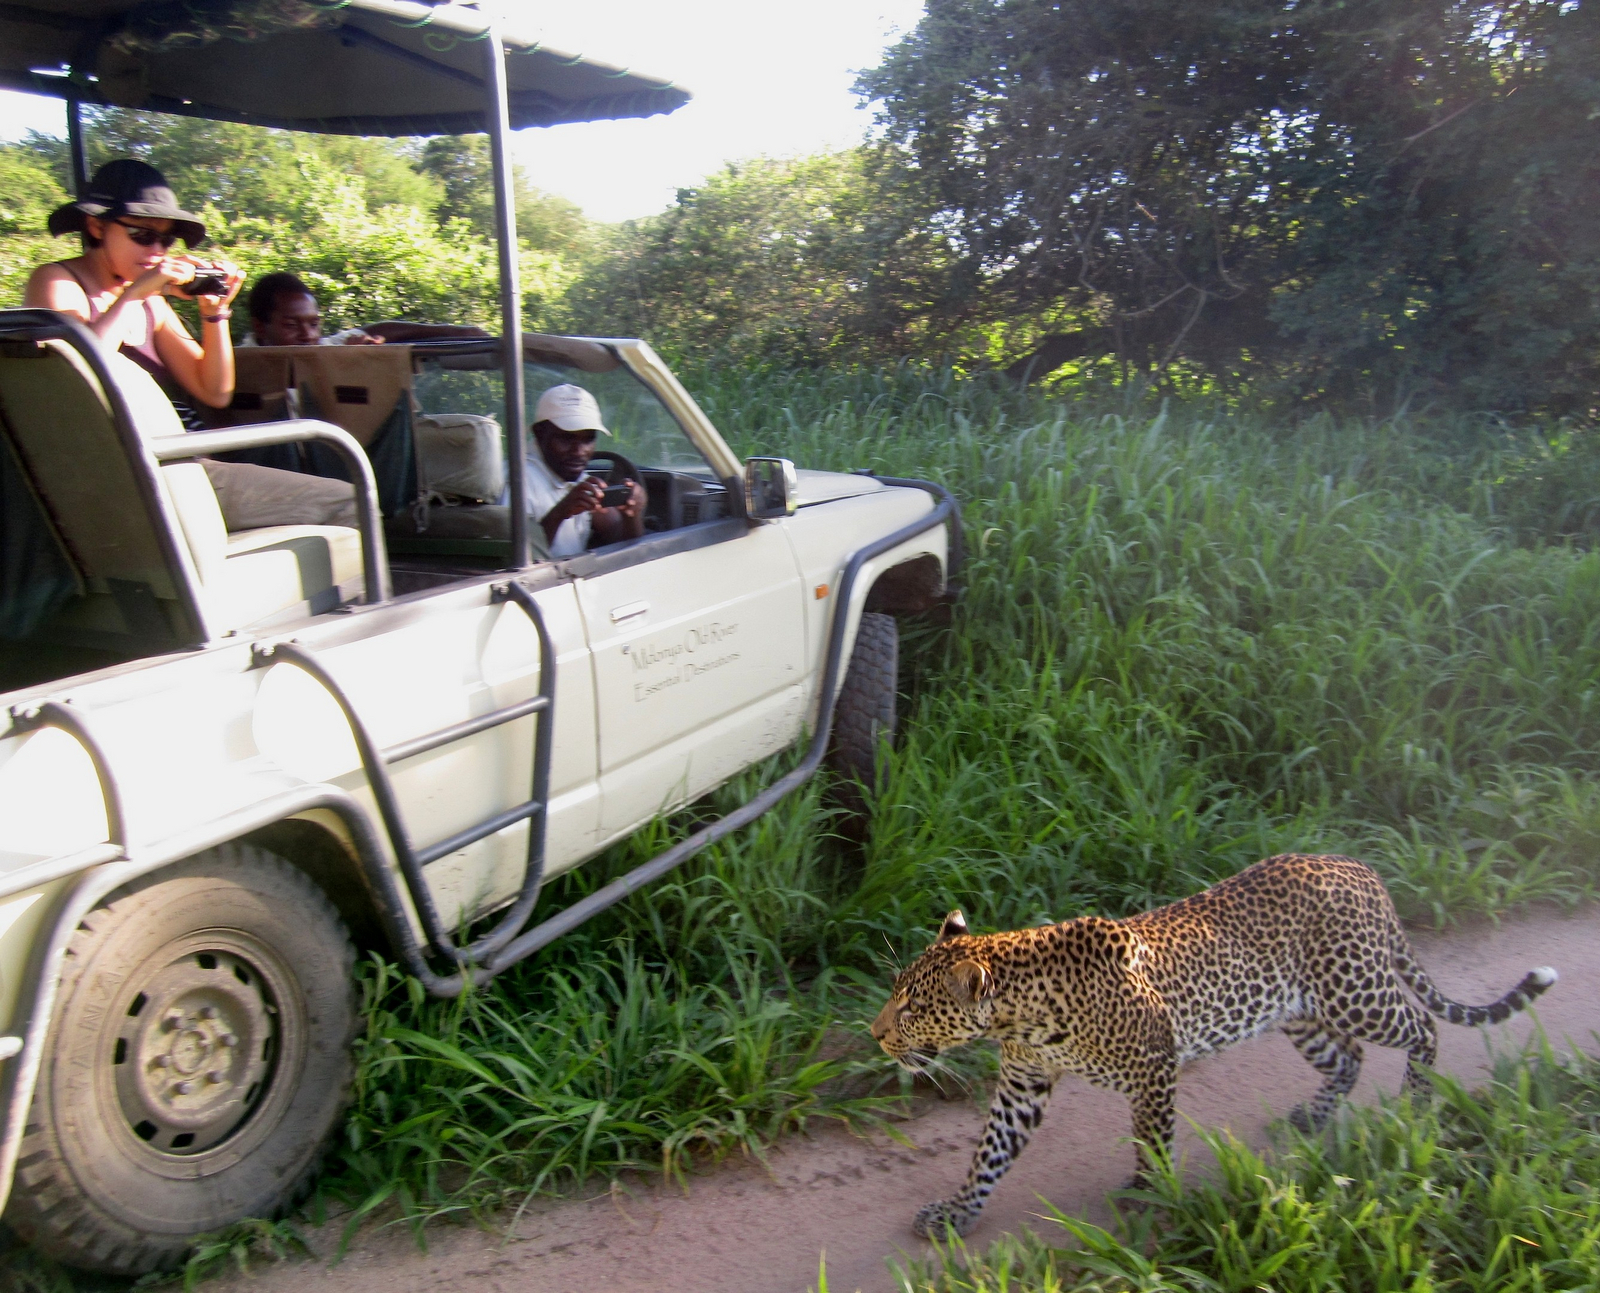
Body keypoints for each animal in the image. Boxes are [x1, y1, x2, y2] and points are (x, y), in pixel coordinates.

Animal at [871, 853, 1557, 1240]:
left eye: (912, 1007)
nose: (876, 1034)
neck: (1023, 1014)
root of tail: (1359, 869)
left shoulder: (1153, 1069)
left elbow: (1152, 1141)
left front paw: (1150, 1197)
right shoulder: (1023, 1083)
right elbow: (989, 1154)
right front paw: (956, 1213)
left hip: (1354, 988)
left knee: (1422, 1028)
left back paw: (1415, 1107)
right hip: (1295, 1009)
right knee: (1349, 1057)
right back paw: (1313, 1117)